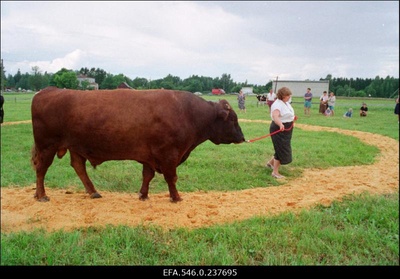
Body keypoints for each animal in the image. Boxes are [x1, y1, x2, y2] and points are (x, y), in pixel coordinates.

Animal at [31, 86, 245, 202]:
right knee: (41, 169)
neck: (188, 113)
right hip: (47, 146)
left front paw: (143, 195)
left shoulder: (149, 157)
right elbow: (171, 177)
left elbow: (147, 176)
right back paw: (41, 195)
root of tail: (48, 91)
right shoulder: (168, 155)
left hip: (75, 147)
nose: (242, 137)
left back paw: (93, 192)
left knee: (78, 167)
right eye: (233, 119)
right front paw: (176, 198)